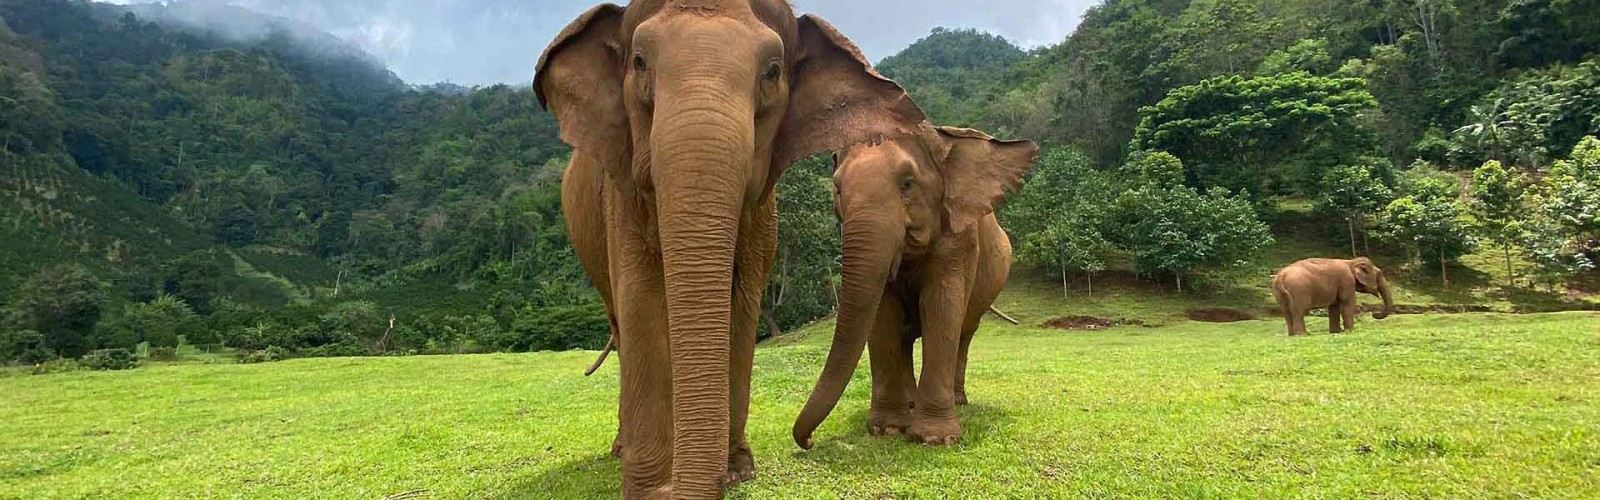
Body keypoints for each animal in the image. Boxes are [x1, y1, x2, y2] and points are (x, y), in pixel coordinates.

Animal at [537, 2, 924, 497]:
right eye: (639, 63)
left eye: (772, 71)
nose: (809, 443)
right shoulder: (620, 195)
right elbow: (641, 301)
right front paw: (646, 488)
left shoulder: (762, 214)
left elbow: (740, 311)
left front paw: (738, 470)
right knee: (621, 326)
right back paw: (621, 449)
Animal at [792, 125, 1037, 449]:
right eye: (838, 189)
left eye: (907, 184)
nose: (809, 441)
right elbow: (883, 313)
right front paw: (888, 430)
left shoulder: (959, 236)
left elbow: (941, 305)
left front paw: (935, 438)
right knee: (906, 336)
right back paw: (910, 404)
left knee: (964, 333)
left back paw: (957, 401)